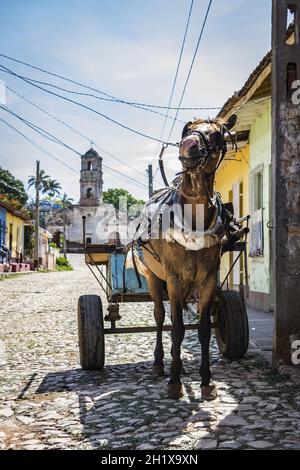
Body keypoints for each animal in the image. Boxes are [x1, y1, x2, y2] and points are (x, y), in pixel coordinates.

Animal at [142, 114, 238, 400]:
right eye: (187, 129)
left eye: (217, 133)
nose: (188, 147)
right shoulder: (173, 279)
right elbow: (177, 329)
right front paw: (174, 382)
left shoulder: (208, 280)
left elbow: (204, 330)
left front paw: (206, 381)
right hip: (153, 278)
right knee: (160, 317)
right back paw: (160, 364)